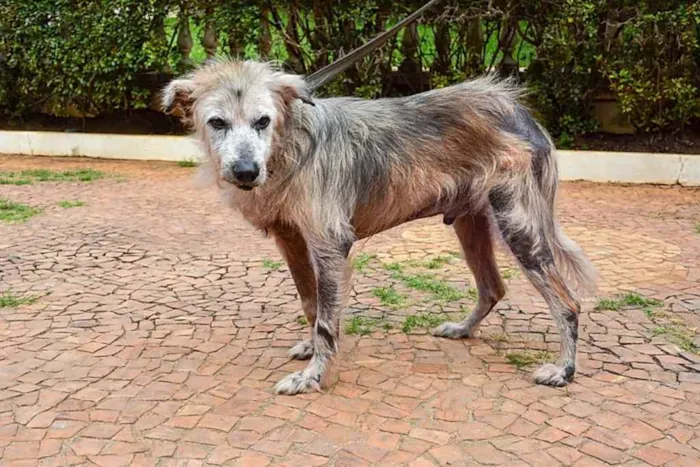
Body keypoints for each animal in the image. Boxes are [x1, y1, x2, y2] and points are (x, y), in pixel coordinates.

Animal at [164, 59, 596, 394]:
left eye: (262, 121)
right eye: (217, 122)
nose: (245, 172)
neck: (289, 147)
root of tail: (519, 110)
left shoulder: (330, 245)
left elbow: (327, 321)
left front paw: (314, 377)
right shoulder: (292, 240)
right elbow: (310, 305)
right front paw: (311, 349)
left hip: (519, 227)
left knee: (568, 304)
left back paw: (564, 371)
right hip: (470, 223)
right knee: (493, 287)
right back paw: (463, 329)